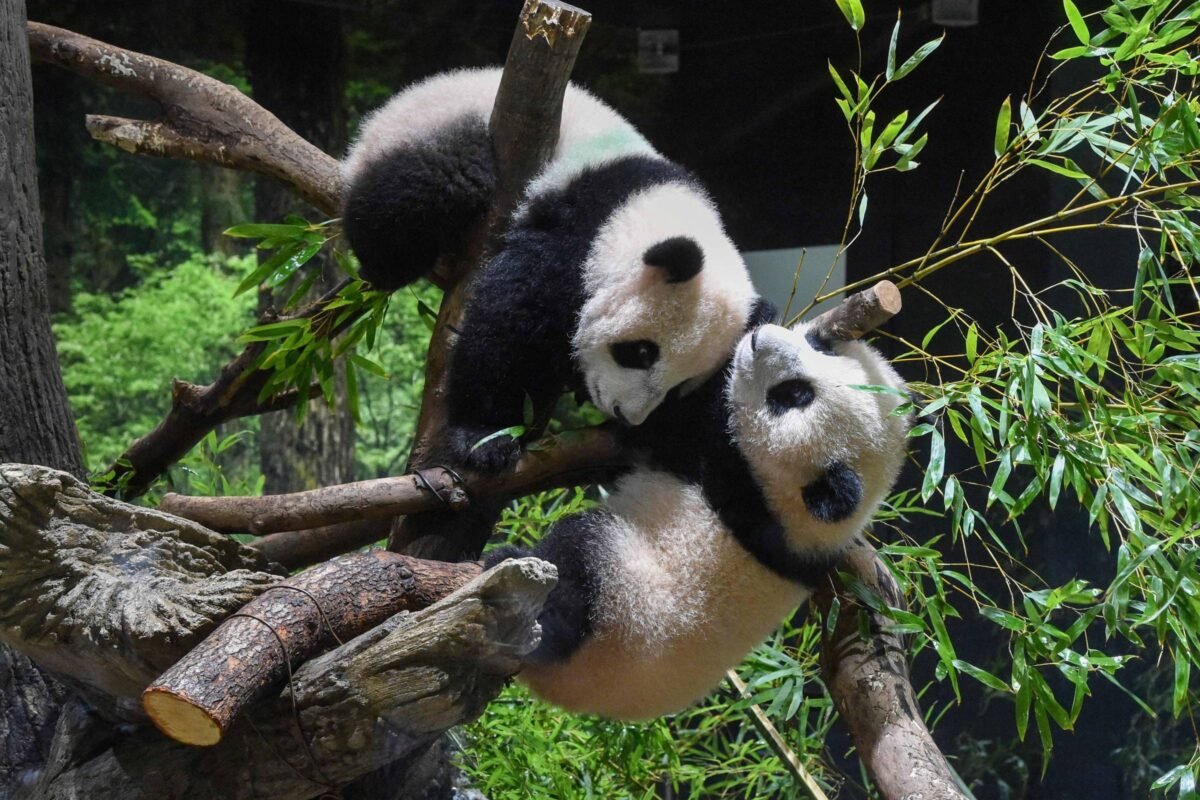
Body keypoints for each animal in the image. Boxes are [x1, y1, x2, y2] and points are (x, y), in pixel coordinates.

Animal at [342, 68, 756, 471]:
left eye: (678, 387)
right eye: (641, 353)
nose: (626, 414)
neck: (647, 208)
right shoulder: (579, 225)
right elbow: (510, 318)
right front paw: (486, 436)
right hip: (434, 129)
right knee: (427, 187)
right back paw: (389, 265)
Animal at [484, 316, 910, 720]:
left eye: (793, 395)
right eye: (820, 347)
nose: (760, 339)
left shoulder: (734, 479)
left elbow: (671, 426)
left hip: (620, 608)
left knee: (576, 568)